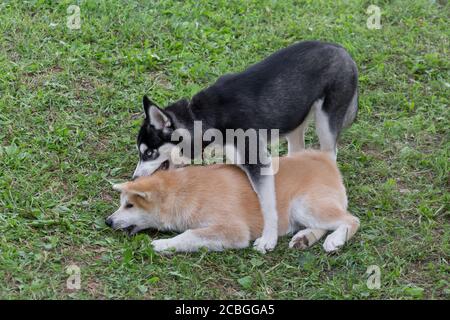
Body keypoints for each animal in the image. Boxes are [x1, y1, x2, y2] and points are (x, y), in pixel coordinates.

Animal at [105, 151, 358, 254]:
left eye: (129, 205)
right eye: (121, 204)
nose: (108, 221)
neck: (184, 192)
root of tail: (323, 159)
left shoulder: (233, 229)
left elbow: (189, 235)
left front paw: (163, 245)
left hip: (304, 205)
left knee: (351, 220)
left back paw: (335, 240)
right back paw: (303, 238)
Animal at [131, 40, 358, 252]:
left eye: (149, 153)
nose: (134, 178)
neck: (203, 116)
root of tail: (340, 48)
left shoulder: (258, 162)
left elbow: (268, 205)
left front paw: (268, 239)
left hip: (326, 123)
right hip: (295, 123)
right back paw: (306, 235)